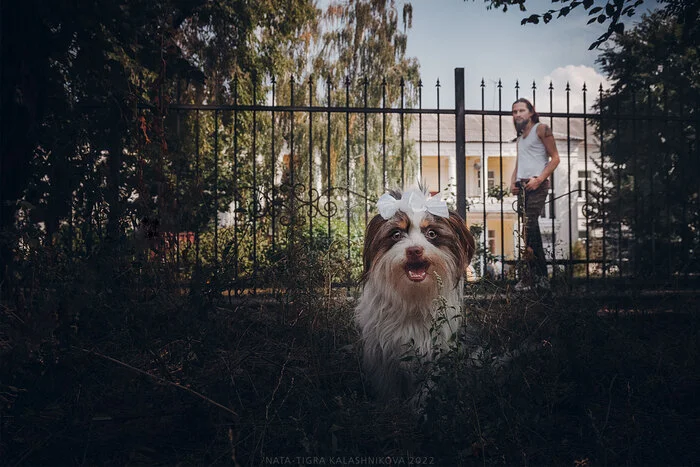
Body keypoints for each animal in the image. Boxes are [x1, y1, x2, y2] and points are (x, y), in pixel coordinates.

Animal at [356, 188, 476, 400]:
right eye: (396, 234)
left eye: (431, 233)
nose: (414, 250)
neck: (413, 295)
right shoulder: (383, 358)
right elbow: (389, 392)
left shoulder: (436, 355)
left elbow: (425, 391)